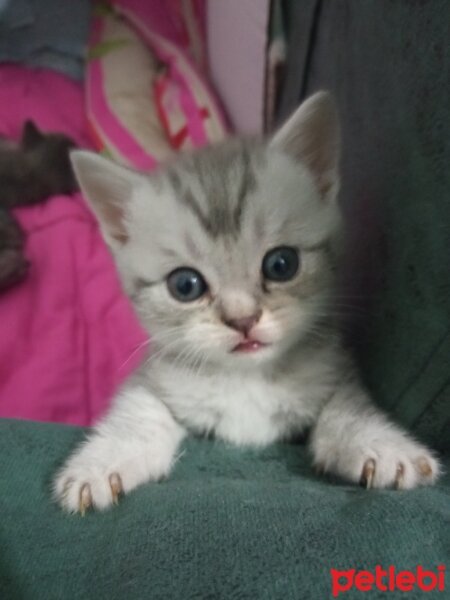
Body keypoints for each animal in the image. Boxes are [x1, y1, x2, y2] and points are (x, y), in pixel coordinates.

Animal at [53, 91, 440, 512]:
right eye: (185, 285)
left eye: (281, 264)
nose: (243, 319)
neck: (247, 379)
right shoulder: (154, 375)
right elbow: (138, 411)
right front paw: (101, 462)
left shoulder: (335, 368)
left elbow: (348, 407)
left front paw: (381, 445)